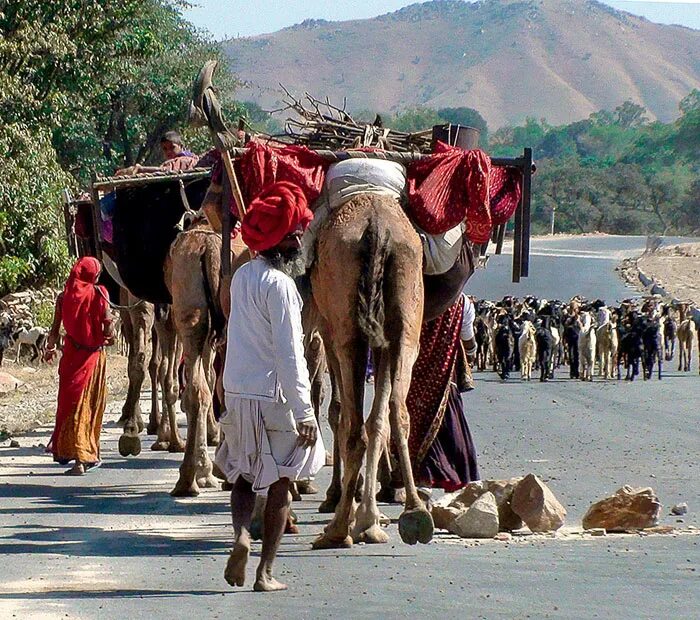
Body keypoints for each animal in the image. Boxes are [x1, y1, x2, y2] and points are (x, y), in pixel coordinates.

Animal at [310, 194, 432, 548]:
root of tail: (376, 226)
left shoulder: (329, 330)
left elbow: (339, 411)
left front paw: (339, 498)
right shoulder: (383, 339)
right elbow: (378, 418)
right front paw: (370, 512)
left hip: (346, 326)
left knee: (353, 426)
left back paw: (338, 529)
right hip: (406, 308)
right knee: (397, 412)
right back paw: (413, 512)